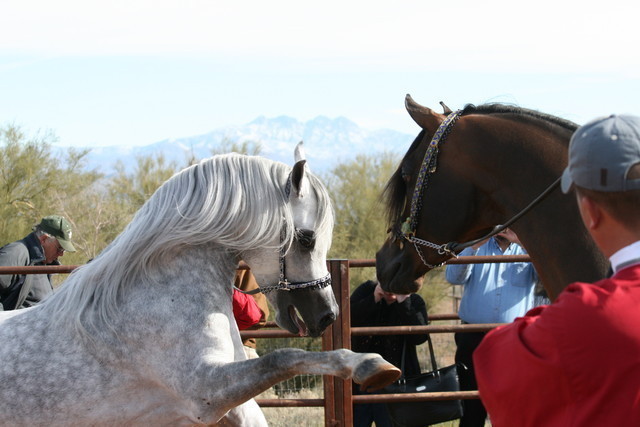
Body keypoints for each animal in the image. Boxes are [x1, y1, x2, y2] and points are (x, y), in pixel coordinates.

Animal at [0, 144, 400, 426]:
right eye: (306, 239)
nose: (327, 315)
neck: (159, 294)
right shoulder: (205, 392)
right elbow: (286, 356)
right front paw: (369, 365)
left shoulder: (232, 407)